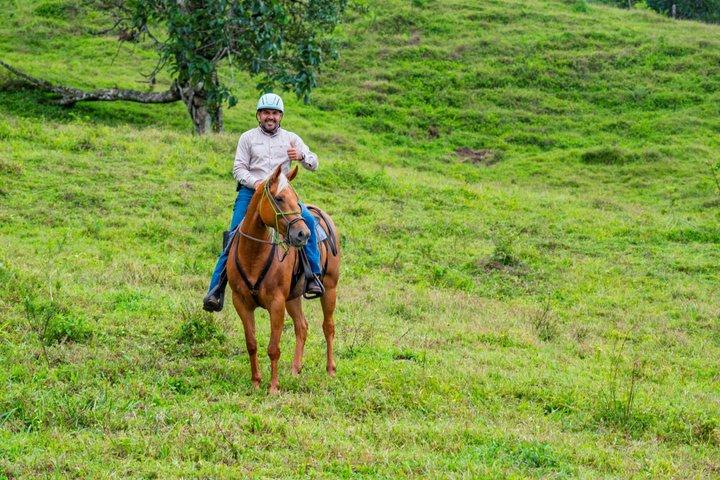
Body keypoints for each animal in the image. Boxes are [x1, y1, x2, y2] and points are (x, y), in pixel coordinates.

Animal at [226, 164, 341, 394]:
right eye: (278, 198)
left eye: (295, 198)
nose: (303, 234)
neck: (254, 256)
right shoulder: (240, 302)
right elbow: (251, 343)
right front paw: (256, 382)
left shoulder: (276, 303)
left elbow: (273, 348)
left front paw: (273, 388)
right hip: (293, 297)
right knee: (302, 327)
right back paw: (295, 369)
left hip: (330, 288)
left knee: (328, 327)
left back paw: (330, 369)